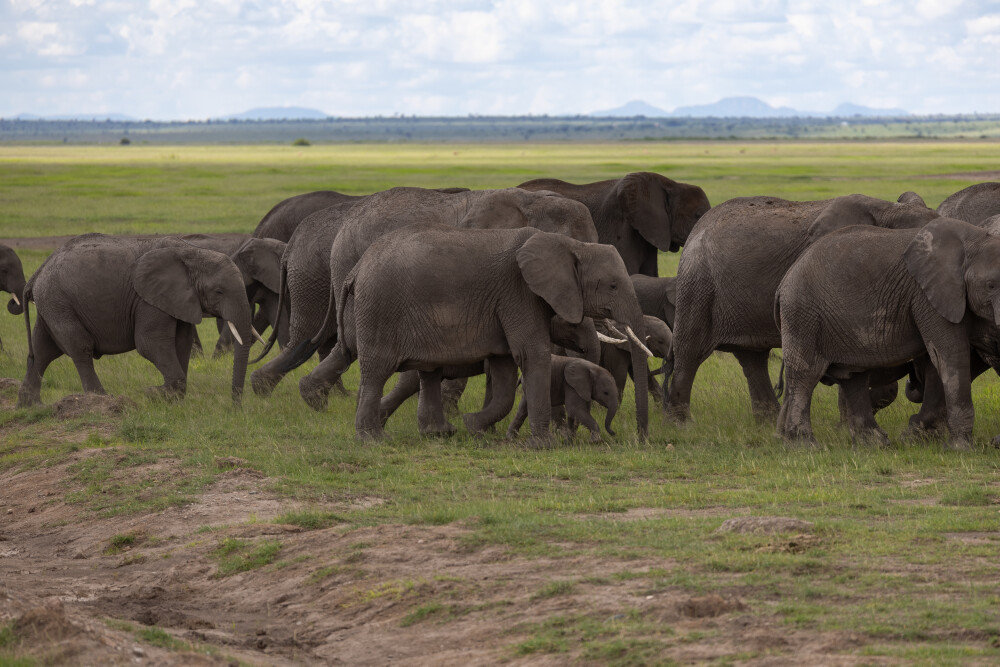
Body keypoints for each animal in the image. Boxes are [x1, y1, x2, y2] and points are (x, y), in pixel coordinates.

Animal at [16, 234, 253, 408]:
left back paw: (30, 407)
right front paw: (152, 393)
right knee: (79, 348)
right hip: (58, 301)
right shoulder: (147, 299)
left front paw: (170, 399)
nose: (235, 407)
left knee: (42, 351)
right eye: (219, 291)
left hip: (51, 303)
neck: (194, 252)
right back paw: (102, 400)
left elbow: (182, 343)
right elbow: (149, 343)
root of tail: (37, 273)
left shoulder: (180, 300)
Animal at [328, 223, 651, 440]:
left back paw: (439, 433)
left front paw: (474, 426)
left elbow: (505, 369)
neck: (570, 244)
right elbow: (531, 355)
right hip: (378, 309)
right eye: (612, 285)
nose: (642, 438)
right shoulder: (518, 294)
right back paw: (374, 439)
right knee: (376, 372)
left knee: (427, 373)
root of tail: (357, 268)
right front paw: (543, 443)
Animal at [666, 193, 940, 423]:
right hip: (699, 284)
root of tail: (697, 228)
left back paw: (767, 422)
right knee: (690, 351)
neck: (888, 210)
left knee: (752, 357)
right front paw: (848, 423)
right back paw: (682, 424)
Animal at [774, 217, 1000, 448]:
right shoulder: (927, 296)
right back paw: (804, 444)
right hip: (803, 314)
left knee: (853, 376)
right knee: (806, 374)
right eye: (990, 285)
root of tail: (784, 280)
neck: (975, 240)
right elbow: (951, 355)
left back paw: (875, 443)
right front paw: (961, 448)